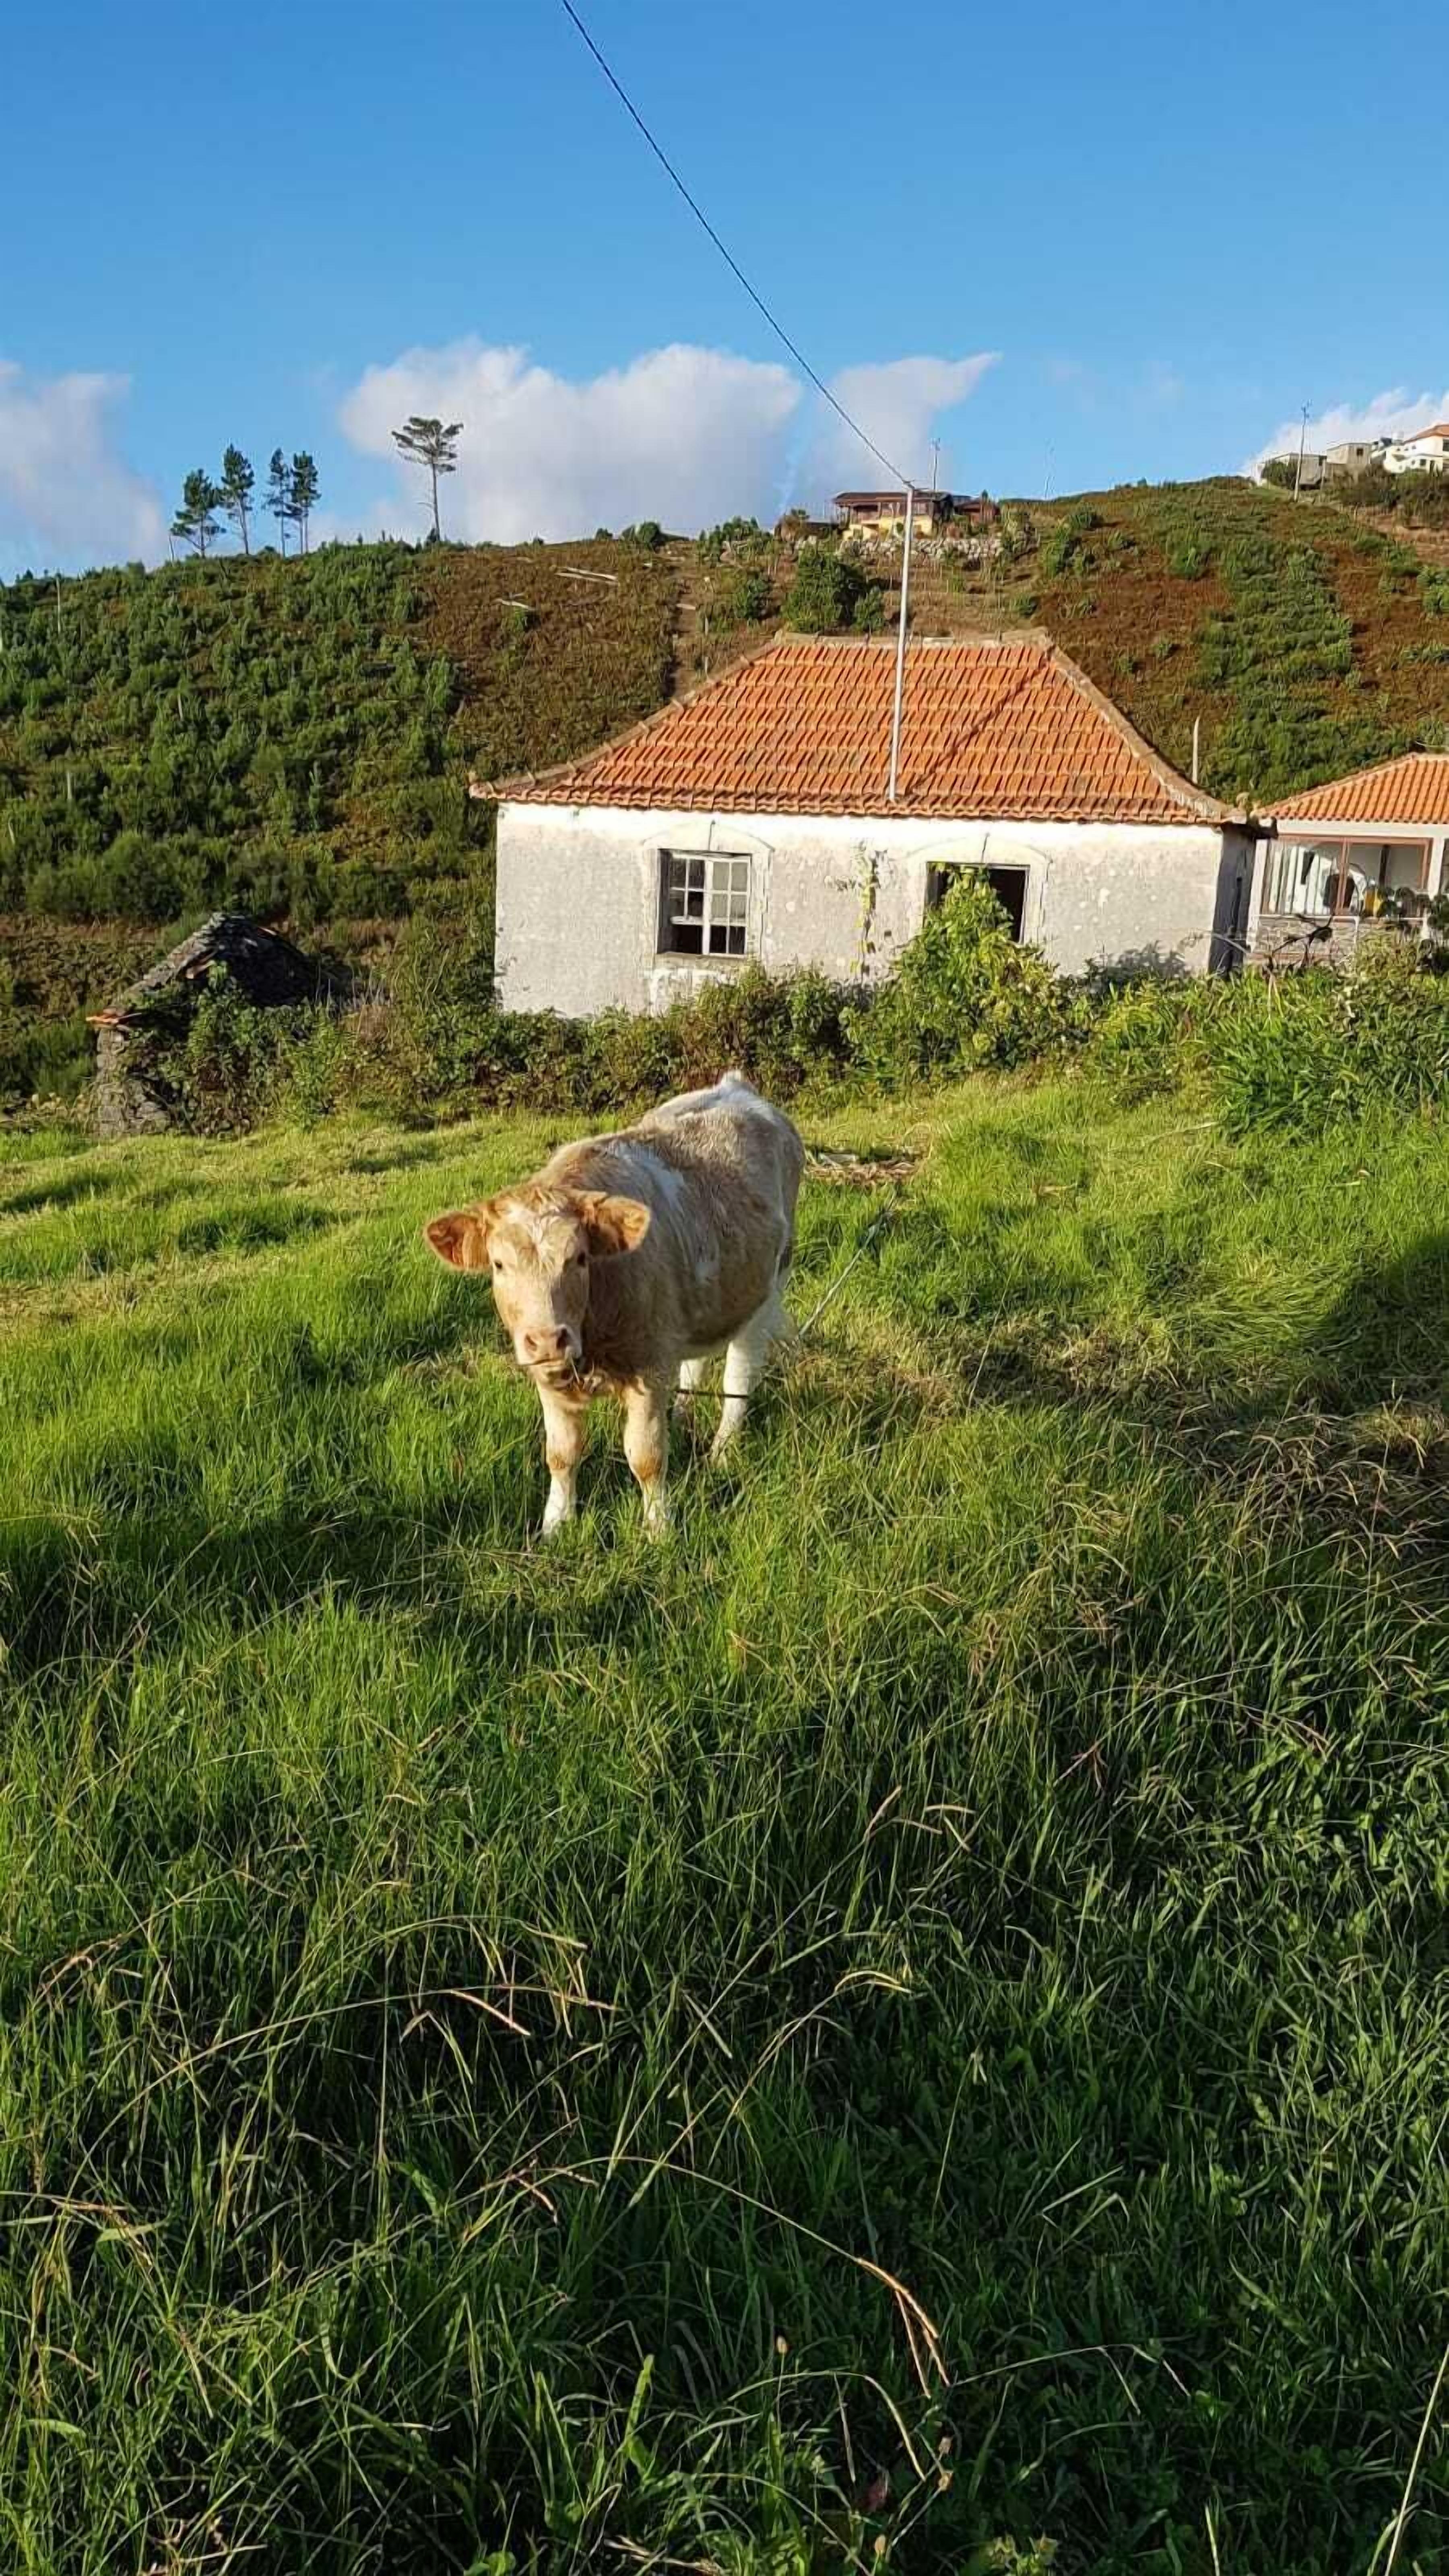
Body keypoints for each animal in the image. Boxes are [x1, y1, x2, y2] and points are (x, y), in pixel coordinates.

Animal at [424, 1072, 805, 1537]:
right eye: (499, 1264)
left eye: (579, 1258)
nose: (548, 1339)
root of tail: (735, 1086)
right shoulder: (550, 1379)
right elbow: (561, 1453)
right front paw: (556, 1524)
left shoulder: (649, 1366)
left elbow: (646, 1456)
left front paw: (659, 1530)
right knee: (697, 1358)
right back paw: (683, 1415)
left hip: (768, 1288)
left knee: (740, 1374)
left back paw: (724, 1451)